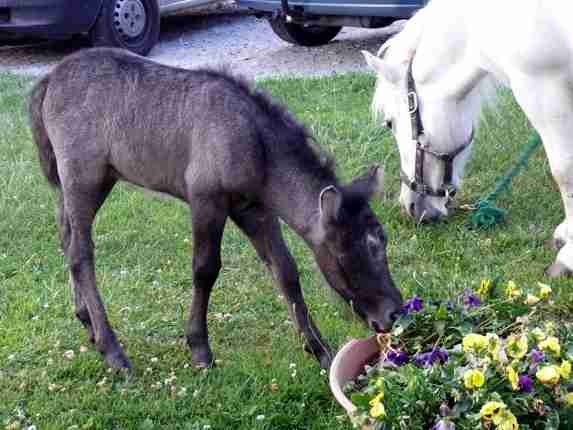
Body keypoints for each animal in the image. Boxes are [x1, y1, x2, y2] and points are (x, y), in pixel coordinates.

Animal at [27, 46, 402, 370]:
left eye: (383, 240)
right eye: (360, 248)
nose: (394, 312)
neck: (257, 149)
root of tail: (48, 81)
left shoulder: (254, 208)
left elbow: (285, 270)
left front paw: (320, 350)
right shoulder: (206, 199)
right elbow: (205, 269)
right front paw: (200, 348)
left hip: (78, 184)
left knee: (66, 239)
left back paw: (86, 321)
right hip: (83, 177)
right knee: (80, 254)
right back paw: (113, 351)